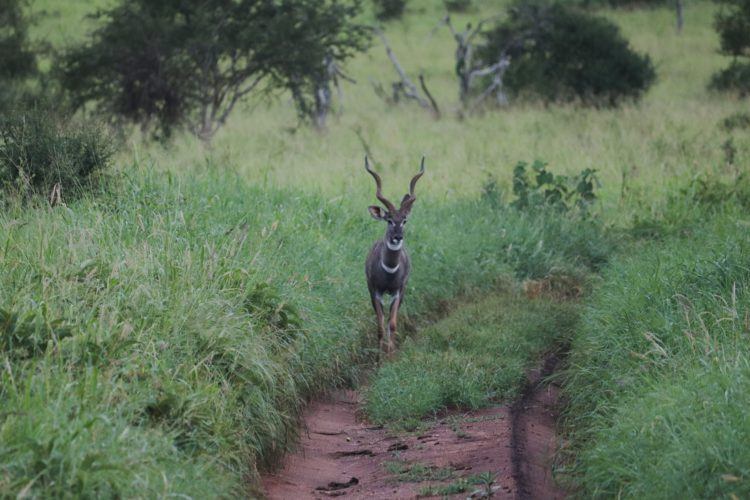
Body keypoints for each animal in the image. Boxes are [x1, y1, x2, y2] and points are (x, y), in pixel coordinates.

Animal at [366, 156, 426, 356]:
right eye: (389, 220)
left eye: (404, 220)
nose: (397, 237)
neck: (389, 273)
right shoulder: (375, 291)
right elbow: (379, 326)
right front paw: (379, 359)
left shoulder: (398, 291)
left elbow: (392, 324)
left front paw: (391, 355)